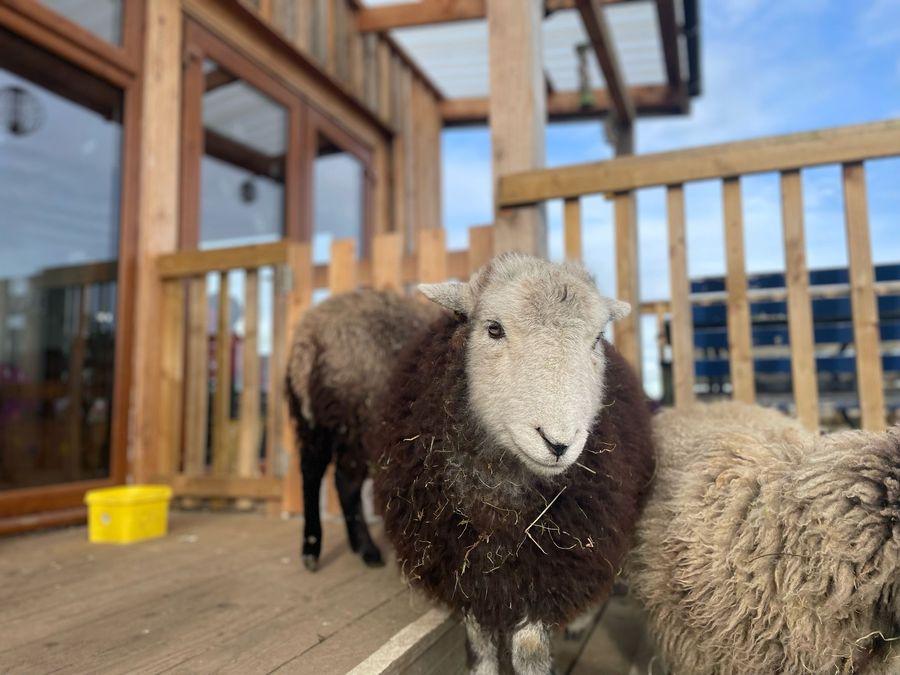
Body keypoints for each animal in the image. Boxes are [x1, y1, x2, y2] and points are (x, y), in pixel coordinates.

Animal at [285, 289, 440, 571]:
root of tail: (311, 336)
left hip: (318, 423)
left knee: (313, 470)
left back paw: (317, 547)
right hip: (358, 423)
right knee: (345, 482)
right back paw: (366, 550)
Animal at [370, 253, 656, 674]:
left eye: (596, 339)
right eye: (493, 329)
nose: (558, 443)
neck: (499, 495)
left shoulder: (550, 568)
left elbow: (531, 649)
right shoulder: (464, 569)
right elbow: (479, 645)